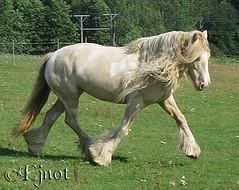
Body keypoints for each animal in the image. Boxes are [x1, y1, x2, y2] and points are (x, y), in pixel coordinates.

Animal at [16, 30, 211, 166]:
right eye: (196, 58)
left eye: (208, 57)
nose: (204, 84)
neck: (153, 63)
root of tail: (53, 56)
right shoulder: (136, 102)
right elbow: (123, 129)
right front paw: (102, 156)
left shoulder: (164, 99)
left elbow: (181, 118)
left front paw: (192, 151)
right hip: (70, 97)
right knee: (70, 120)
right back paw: (90, 149)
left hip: (66, 97)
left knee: (51, 116)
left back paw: (35, 145)